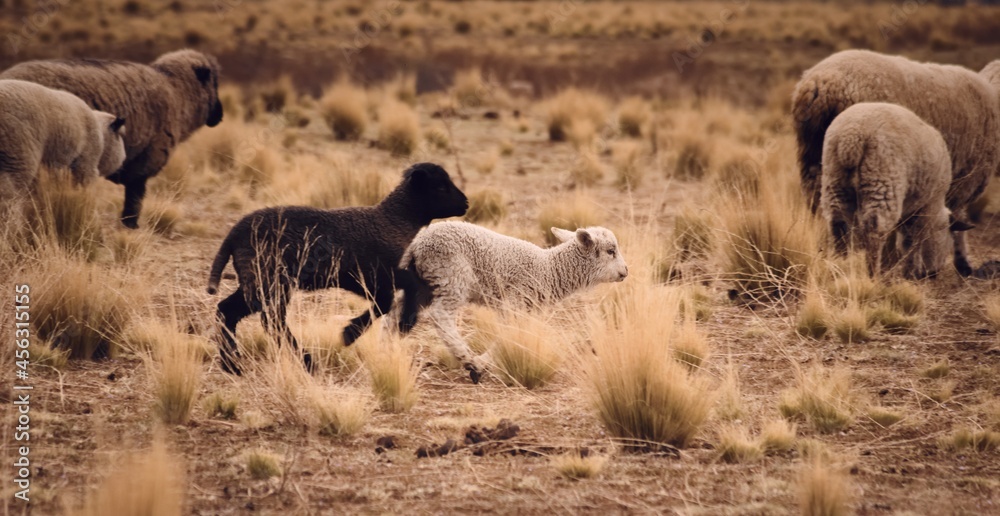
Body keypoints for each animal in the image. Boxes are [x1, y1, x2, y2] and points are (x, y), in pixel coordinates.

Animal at [1, 50, 225, 228]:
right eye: (214, 84)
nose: (220, 116)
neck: (178, 92)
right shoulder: (146, 159)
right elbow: (135, 194)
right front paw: (130, 223)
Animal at [206, 162, 468, 374]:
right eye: (440, 187)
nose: (466, 203)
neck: (395, 220)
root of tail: (234, 234)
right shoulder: (375, 275)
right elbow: (392, 299)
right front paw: (354, 333)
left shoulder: (362, 281)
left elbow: (386, 302)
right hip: (270, 280)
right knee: (271, 322)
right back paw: (307, 362)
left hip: (256, 281)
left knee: (228, 310)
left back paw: (232, 365)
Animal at [394, 222, 628, 382]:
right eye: (610, 251)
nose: (626, 271)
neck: (549, 270)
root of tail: (418, 244)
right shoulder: (514, 301)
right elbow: (506, 334)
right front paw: (481, 364)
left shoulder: (524, 309)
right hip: (452, 277)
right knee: (441, 316)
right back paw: (468, 359)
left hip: (423, 285)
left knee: (393, 317)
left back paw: (387, 352)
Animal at [824, 101, 956, 278]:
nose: (934, 273)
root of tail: (852, 135)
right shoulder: (926, 208)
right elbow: (915, 239)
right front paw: (911, 269)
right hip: (882, 181)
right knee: (874, 230)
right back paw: (873, 274)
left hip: (835, 180)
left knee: (838, 222)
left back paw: (840, 265)